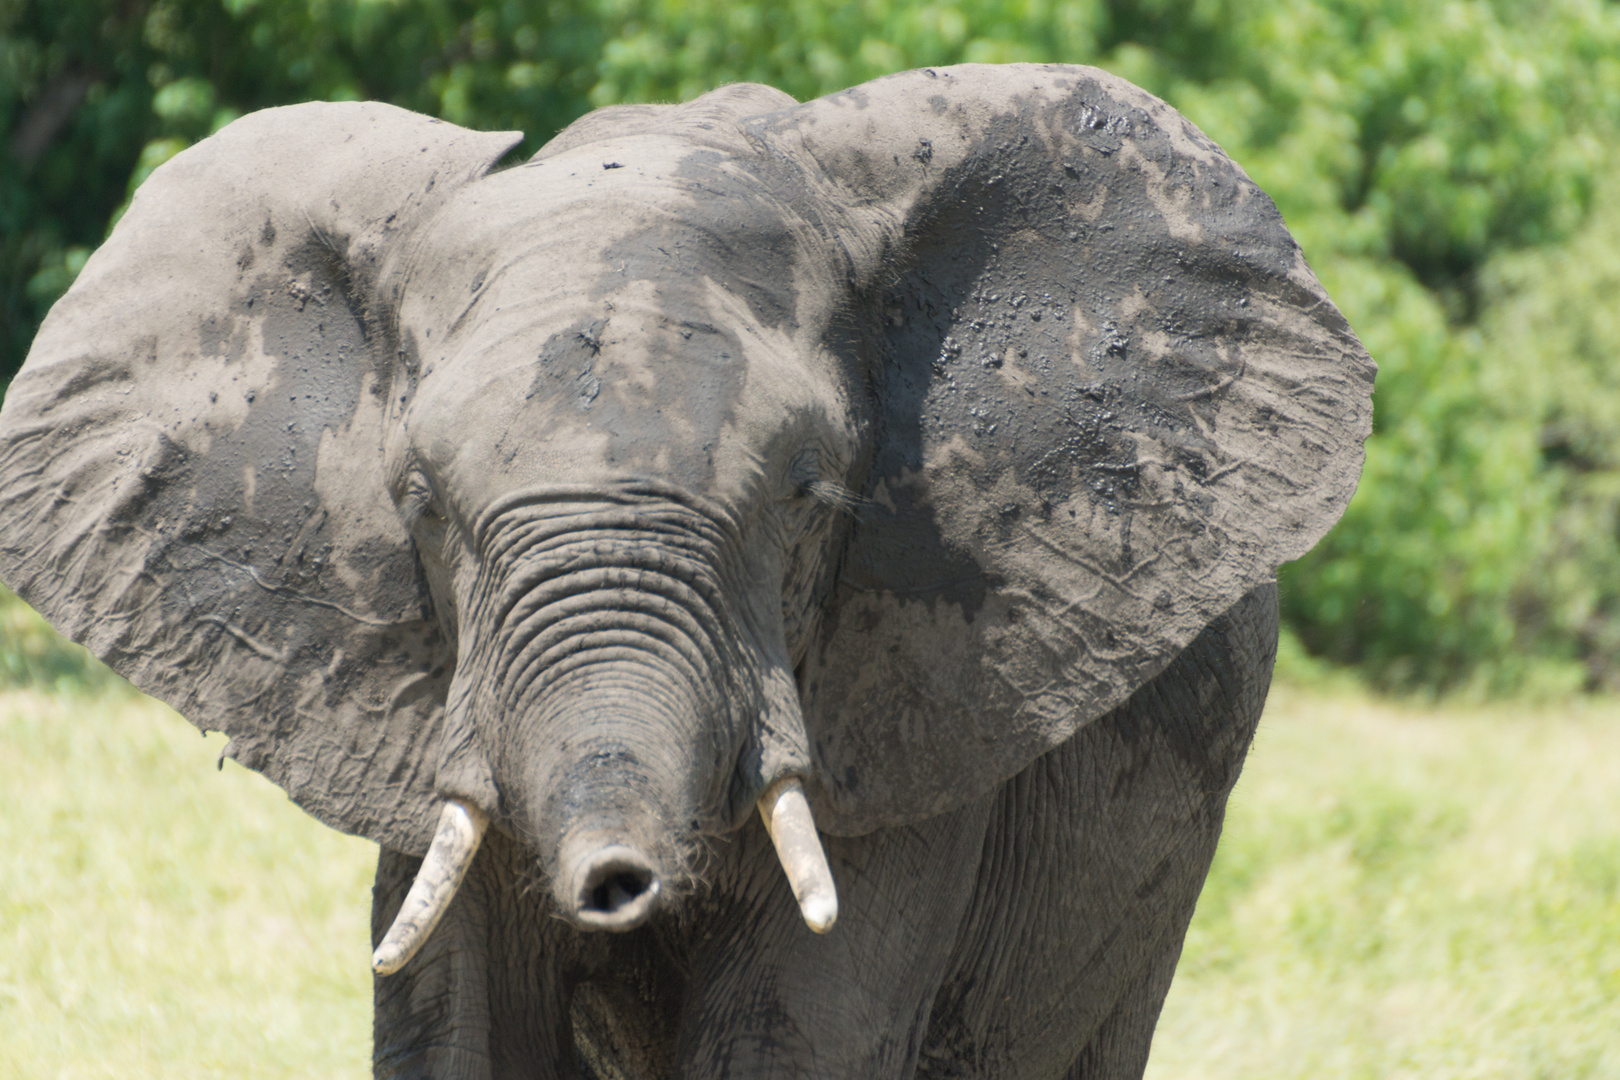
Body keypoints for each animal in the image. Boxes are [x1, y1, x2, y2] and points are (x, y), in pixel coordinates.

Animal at [0, 63, 1367, 1075]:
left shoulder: (918, 703)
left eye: (807, 498)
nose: (616, 885)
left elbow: (793, 1034)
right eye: (421, 504)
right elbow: (458, 1029)